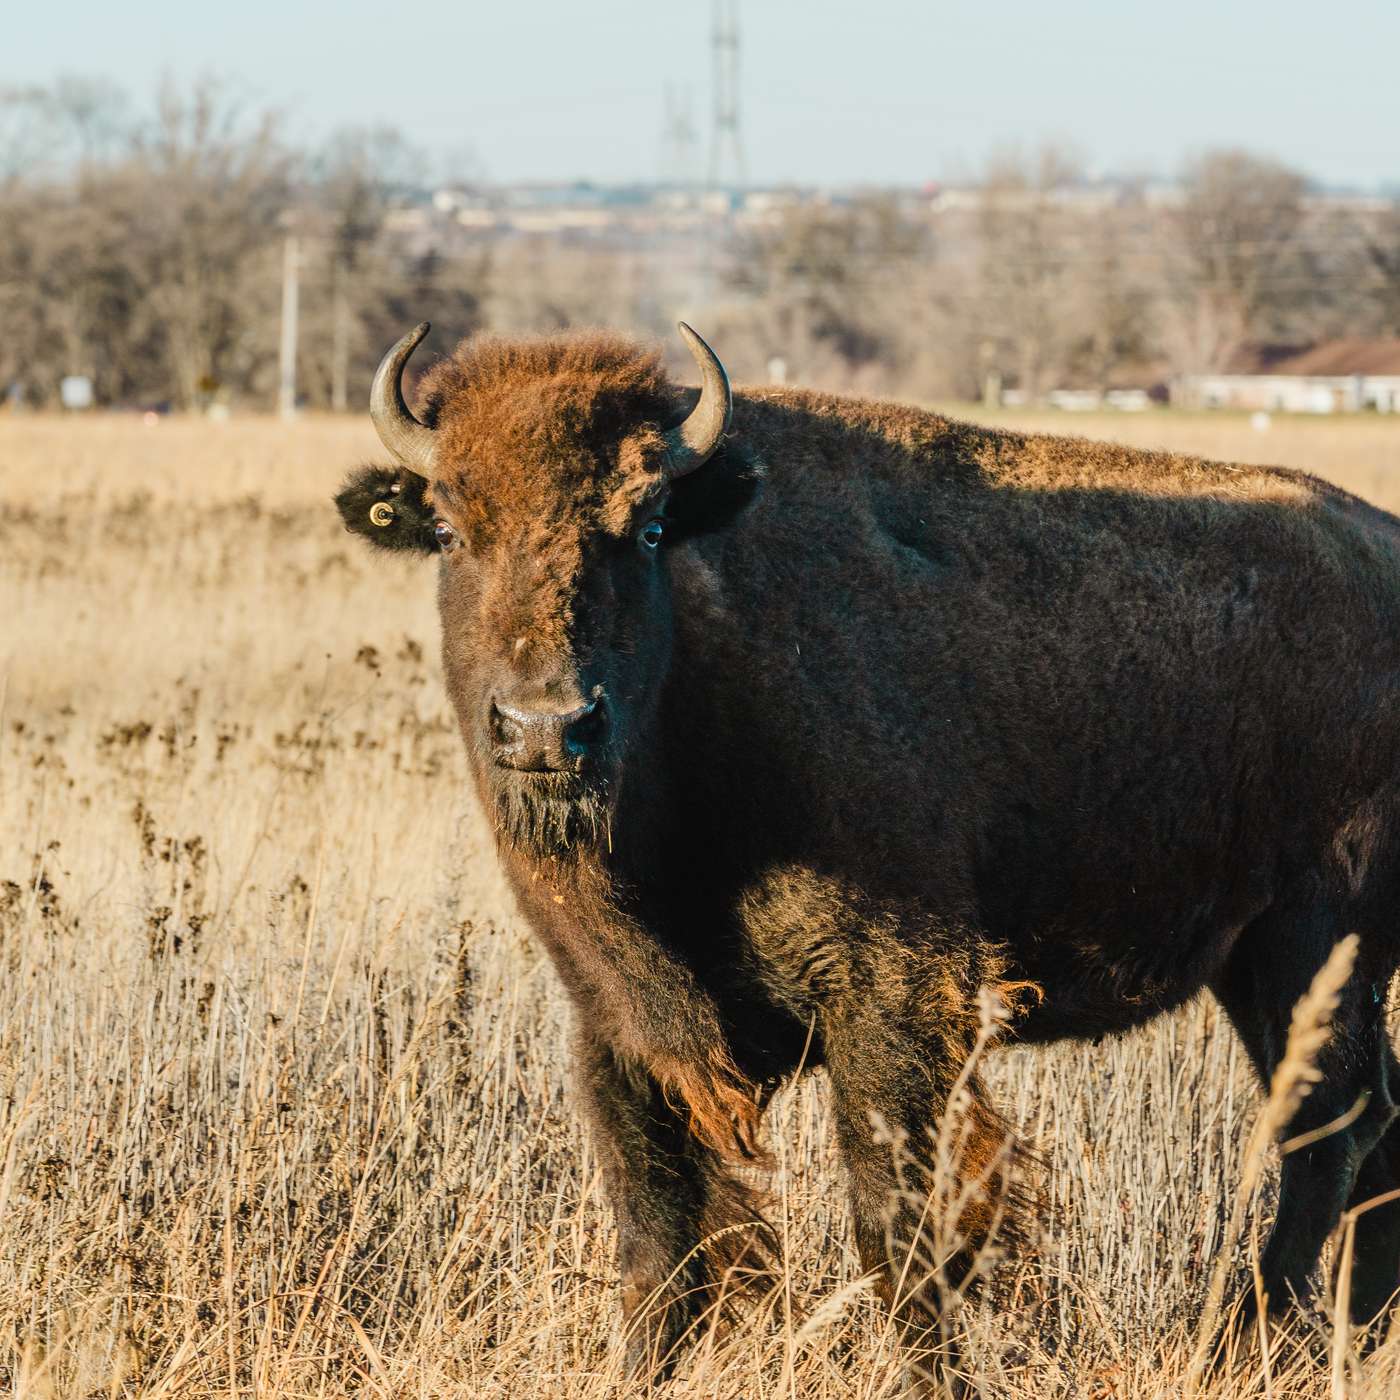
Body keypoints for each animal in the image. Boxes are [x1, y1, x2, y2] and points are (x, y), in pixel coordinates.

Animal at [336, 321, 1400, 1393]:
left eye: (646, 528)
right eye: (446, 529)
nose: (548, 726)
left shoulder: (892, 1005)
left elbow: (895, 1231)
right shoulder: (621, 1031)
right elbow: (654, 1240)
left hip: (1315, 944)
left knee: (1330, 1128)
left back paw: (1247, 1337)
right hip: (1262, 966)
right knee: (1368, 1126)